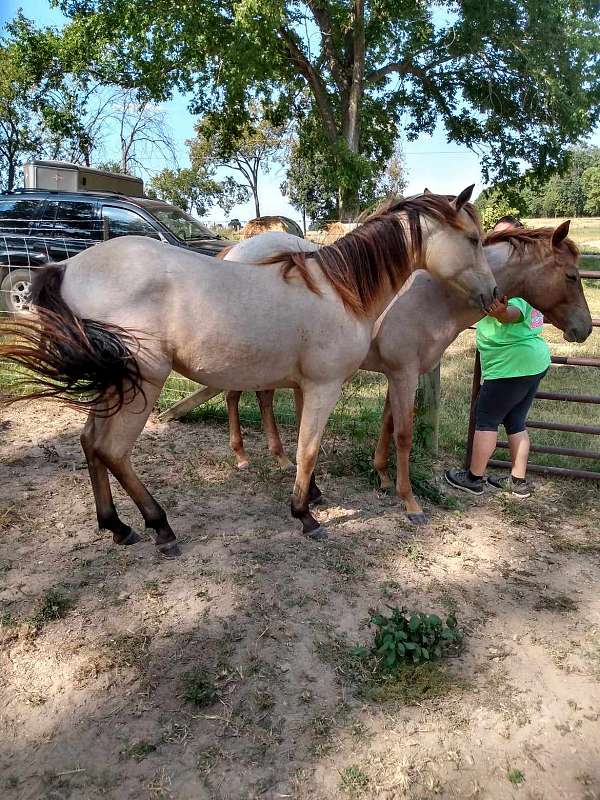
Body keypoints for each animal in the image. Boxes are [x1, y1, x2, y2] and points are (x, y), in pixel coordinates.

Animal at [0, 188, 496, 556]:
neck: (340, 290)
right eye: (474, 239)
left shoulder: (303, 384)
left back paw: (117, 527)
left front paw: (310, 496)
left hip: (117, 384)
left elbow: (301, 446)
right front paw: (305, 516)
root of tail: (66, 266)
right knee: (111, 449)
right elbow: (308, 449)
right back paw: (160, 527)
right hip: (143, 381)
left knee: (90, 442)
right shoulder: (325, 386)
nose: (491, 293)